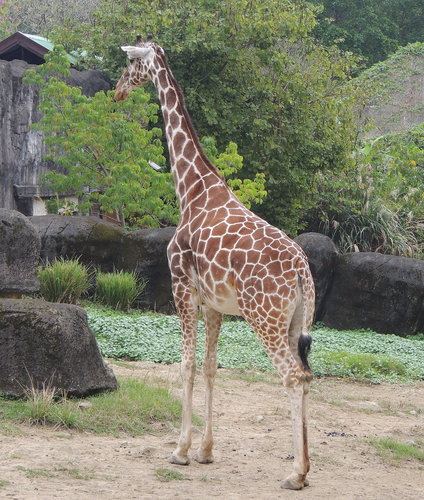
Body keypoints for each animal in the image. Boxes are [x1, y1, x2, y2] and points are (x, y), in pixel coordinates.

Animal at [115, 35, 314, 488]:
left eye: (129, 65)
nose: (117, 91)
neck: (191, 188)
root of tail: (301, 272)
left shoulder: (181, 289)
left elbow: (186, 366)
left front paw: (180, 450)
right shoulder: (215, 306)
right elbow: (210, 368)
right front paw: (205, 451)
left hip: (265, 318)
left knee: (292, 377)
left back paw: (296, 473)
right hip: (297, 322)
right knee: (307, 374)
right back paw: (305, 468)